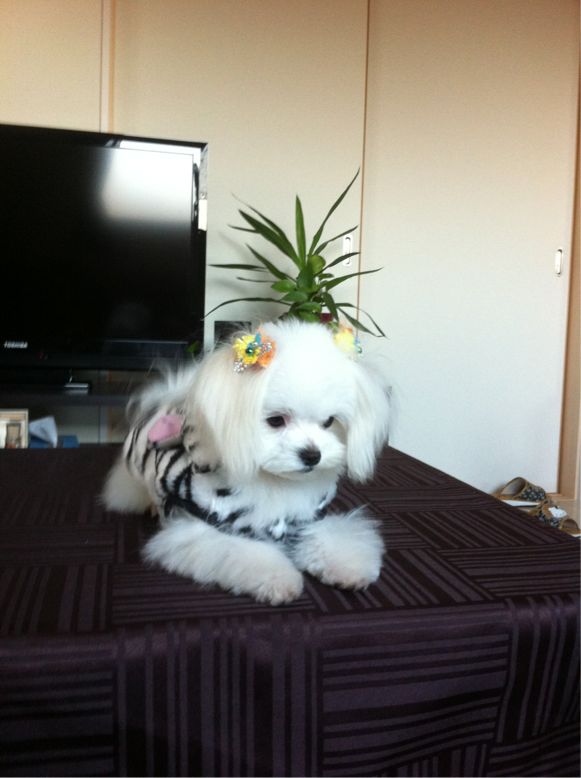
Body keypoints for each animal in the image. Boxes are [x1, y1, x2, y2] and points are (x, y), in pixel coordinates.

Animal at [102, 319, 390, 604]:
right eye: (276, 420)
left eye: (329, 422)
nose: (312, 455)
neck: (277, 482)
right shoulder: (207, 528)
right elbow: (244, 553)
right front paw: (279, 581)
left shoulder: (306, 519)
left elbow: (334, 538)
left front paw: (348, 568)